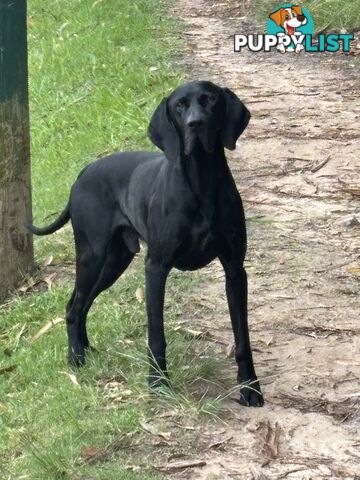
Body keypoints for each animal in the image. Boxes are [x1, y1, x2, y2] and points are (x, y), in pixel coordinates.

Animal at [26, 81, 262, 404]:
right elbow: (156, 335)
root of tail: (83, 173)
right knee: (74, 306)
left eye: (210, 99)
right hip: (91, 256)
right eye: (179, 105)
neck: (200, 180)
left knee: (83, 304)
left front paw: (250, 387)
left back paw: (86, 350)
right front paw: (158, 383)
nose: (196, 123)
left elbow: (242, 336)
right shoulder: (156, 268)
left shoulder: (235, 270)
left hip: (114, 262)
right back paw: (75, 358)